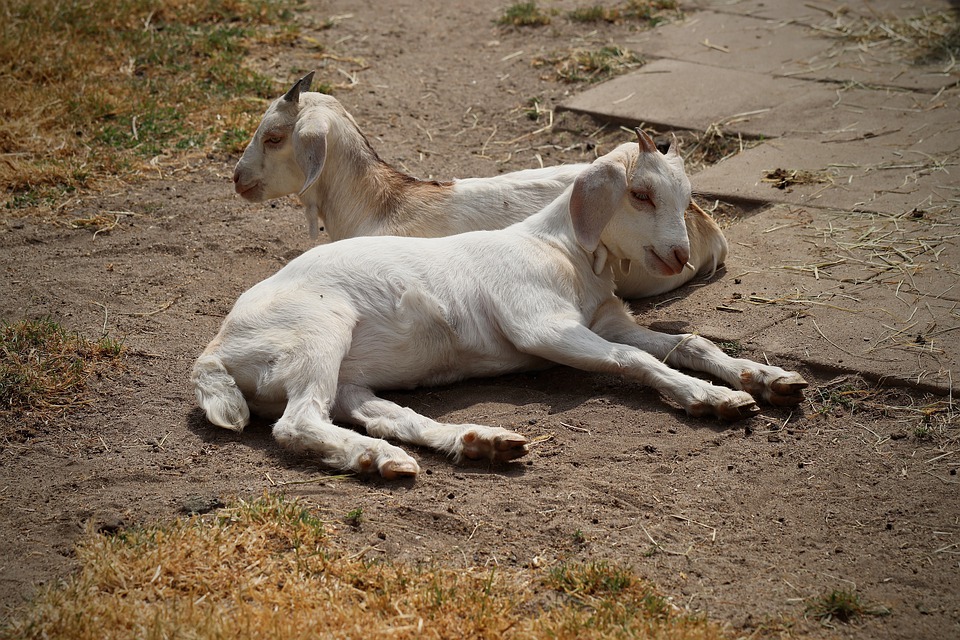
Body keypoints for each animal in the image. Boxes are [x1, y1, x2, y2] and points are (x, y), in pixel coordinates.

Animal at [195, 131, 807, 478]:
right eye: (639, 194)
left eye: (687, 198)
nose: (680, 254)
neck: (564, 251)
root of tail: (215, 351)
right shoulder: (542, 327)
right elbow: (634, 360)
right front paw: (714, 398)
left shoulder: (608, 320)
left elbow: (687, 341)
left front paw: (769, 379)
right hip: (318, 329)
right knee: (297, 422)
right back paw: (388, 458)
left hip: (345, 375)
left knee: (384, 415)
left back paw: (467, 445)